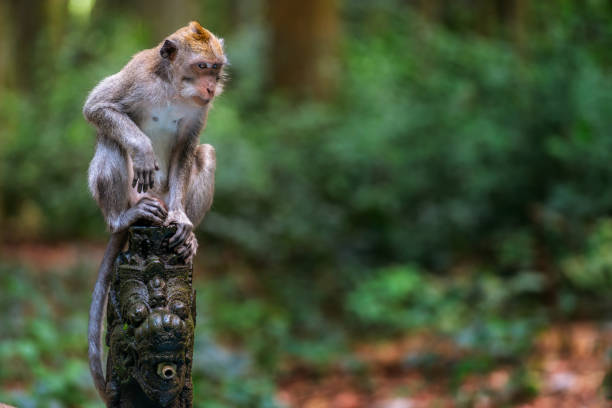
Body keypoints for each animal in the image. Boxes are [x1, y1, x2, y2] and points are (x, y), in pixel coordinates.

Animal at [80, 21, 225, 402]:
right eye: (202, 67)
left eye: (216, 69)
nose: (211, 87)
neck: (174, 88)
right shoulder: (137, 77)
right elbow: (97, 106)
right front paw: (143, 149)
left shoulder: (199, 111)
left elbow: (189, 147)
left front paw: (183, 222)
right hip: (133, 196)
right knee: (110, 140)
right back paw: (123, 217)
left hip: (165, 196)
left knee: (206, 153)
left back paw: (185, 235)